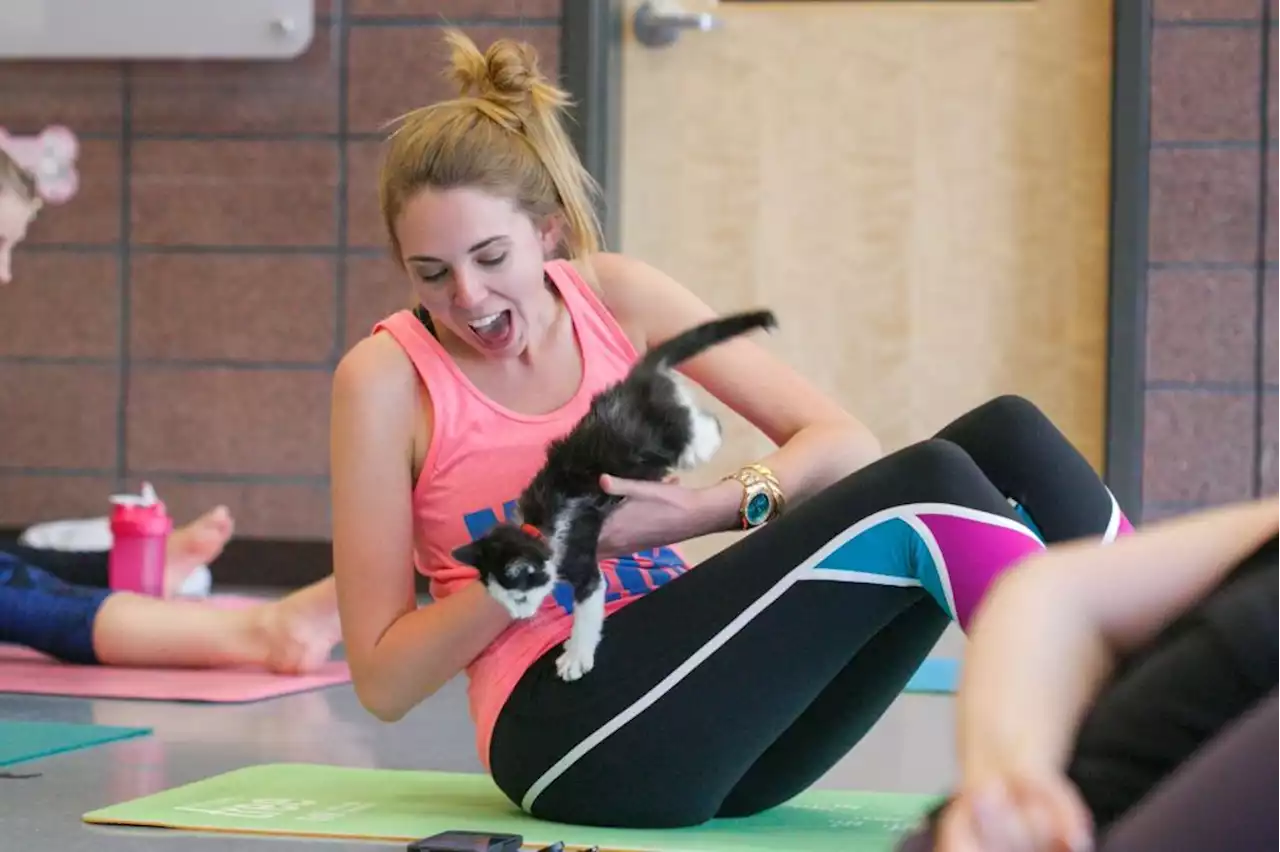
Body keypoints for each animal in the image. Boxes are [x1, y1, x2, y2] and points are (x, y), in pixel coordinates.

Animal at [455, 308, 773, 680]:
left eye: (519, 598)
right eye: (503, 601)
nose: (520, 616)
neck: (539, 524)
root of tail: (639, 378)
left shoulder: (581, 556)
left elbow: (588, 609)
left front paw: (575, 656)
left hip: (669, 426)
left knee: (703, 428)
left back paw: (701, 443)